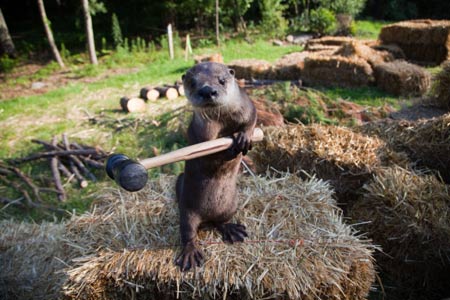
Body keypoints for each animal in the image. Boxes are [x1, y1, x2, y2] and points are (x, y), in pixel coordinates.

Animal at [175, 62, 255, 270]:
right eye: (193, 83)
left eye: (221, 80)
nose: (207, 91)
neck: (224, 124)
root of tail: (208, 217)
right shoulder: (199, 133)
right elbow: (207, 153)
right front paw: (231, 149)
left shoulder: (247, 106)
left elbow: (251, 121)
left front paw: (244, 137)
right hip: (187, 211)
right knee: (187, 232)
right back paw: (190, 253)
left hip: (231, 205)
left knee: (221, 222)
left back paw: (232, 230)